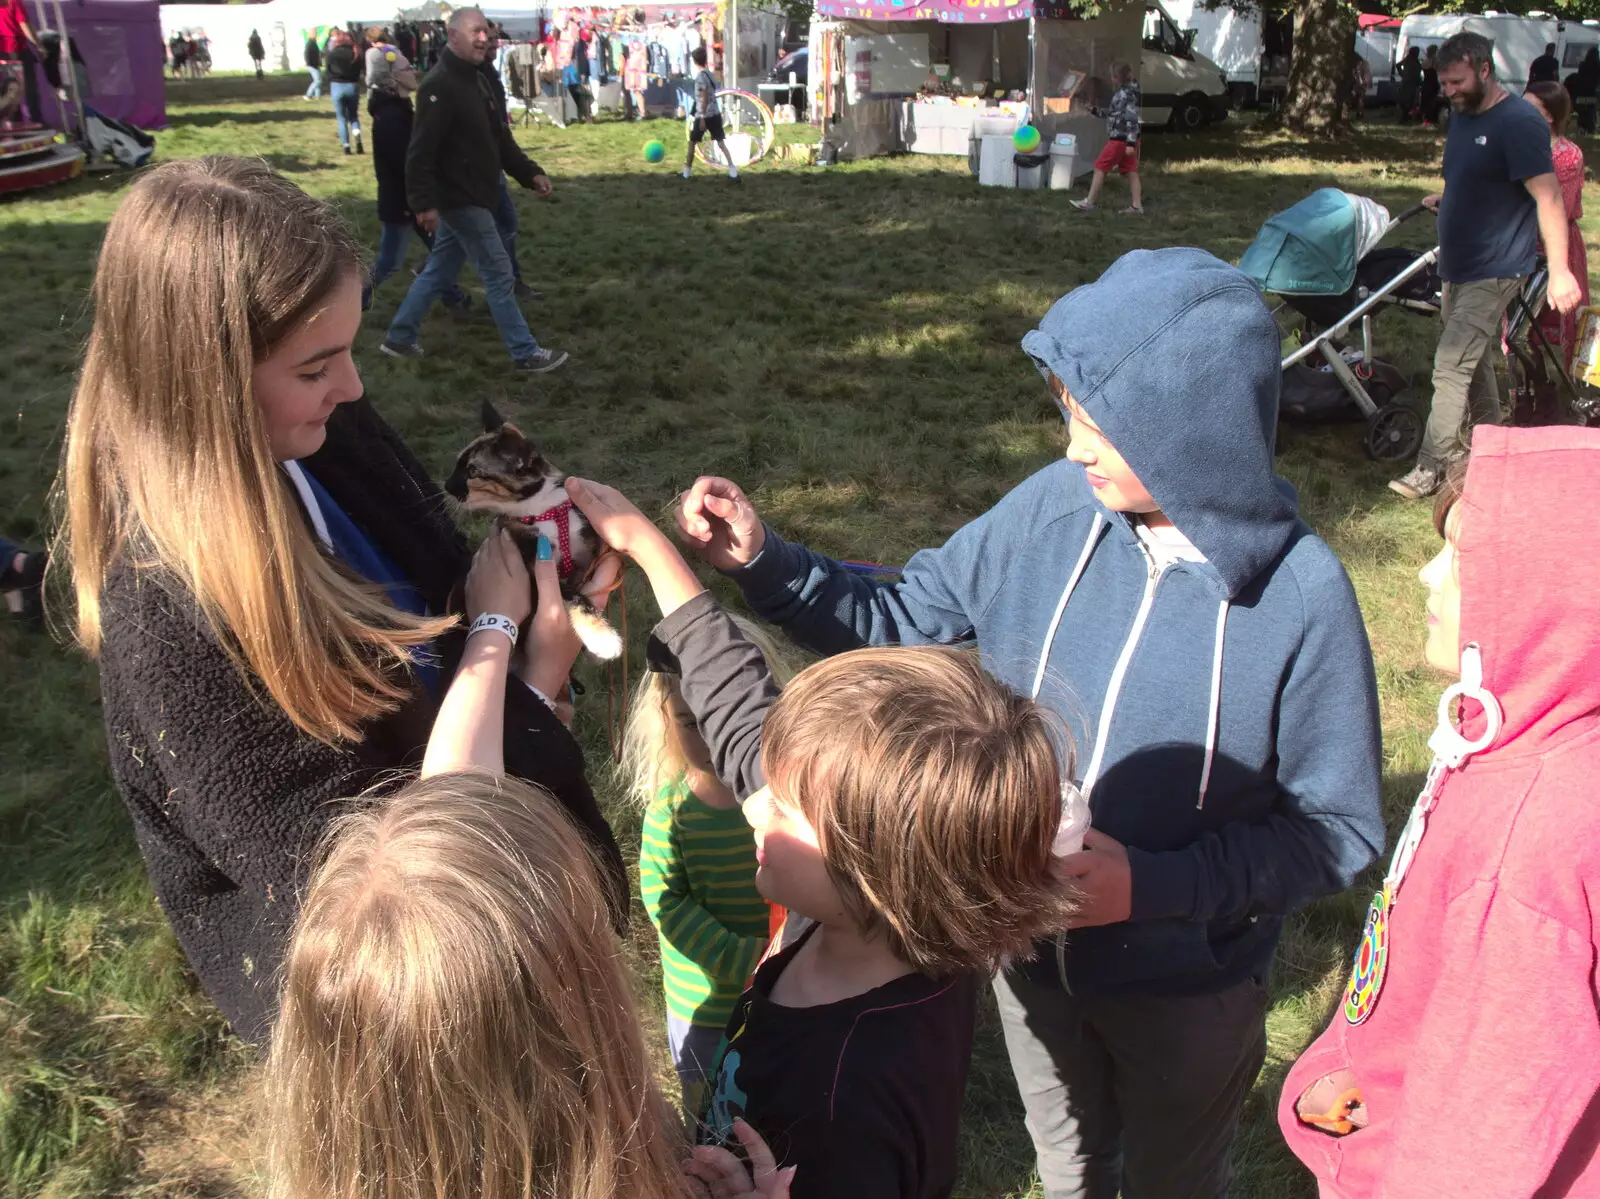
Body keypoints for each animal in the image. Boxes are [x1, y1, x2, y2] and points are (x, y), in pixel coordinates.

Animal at [448, 401, 627, 662]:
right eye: (457, 464)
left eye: (472, 471)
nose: (447, 486)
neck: (540, 509)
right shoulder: (530, 558)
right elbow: (572, 596)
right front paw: (603, 638)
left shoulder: (586, 550)